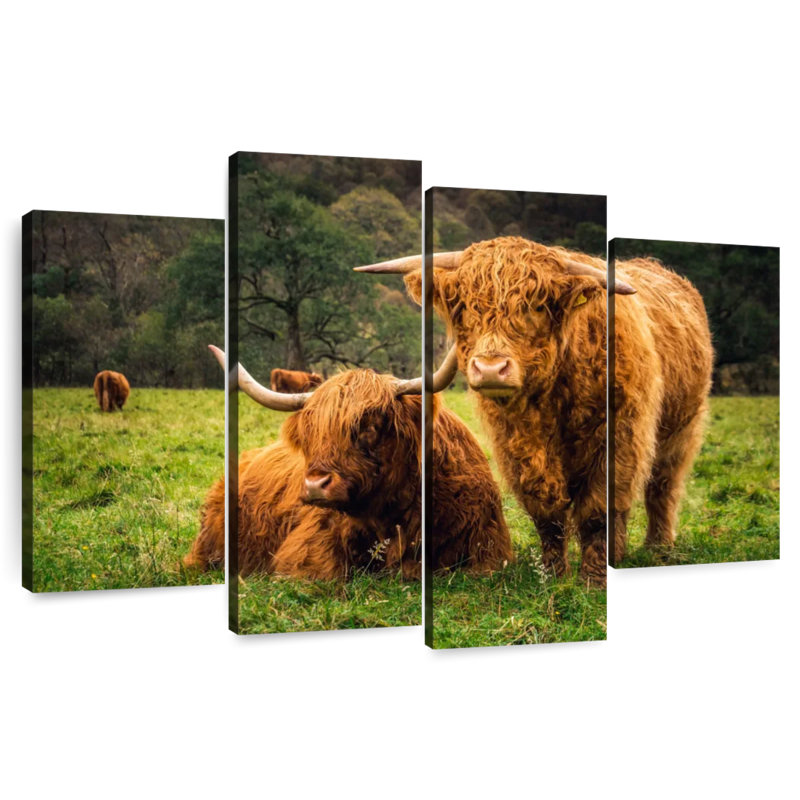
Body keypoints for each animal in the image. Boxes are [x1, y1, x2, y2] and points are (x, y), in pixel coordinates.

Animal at [355, 236, 640, 588]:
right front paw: (553, 577)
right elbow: (546, 515)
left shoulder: (614, 443)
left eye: (536, 305)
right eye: (465, 306)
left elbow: (598, 512)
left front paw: (593, 581)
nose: (490, 369)